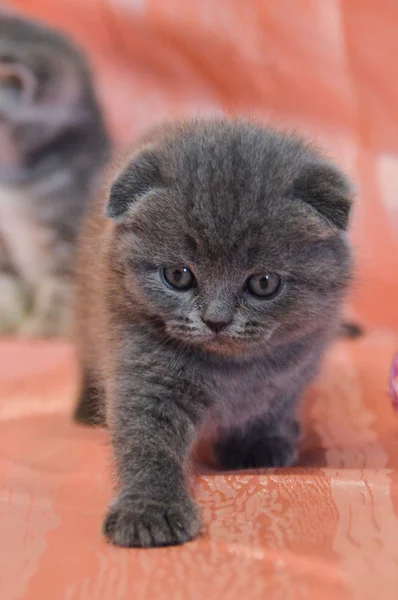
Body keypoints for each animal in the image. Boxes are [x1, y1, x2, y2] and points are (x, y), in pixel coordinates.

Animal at [73, 117, 352, 548]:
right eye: (178, 275)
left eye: (264, 283)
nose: (216, 320)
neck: (231, 371)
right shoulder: (142, 369)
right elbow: (146, 440)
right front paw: (149, 511)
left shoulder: (299, 364)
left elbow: (272, 405)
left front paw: (257, 443)